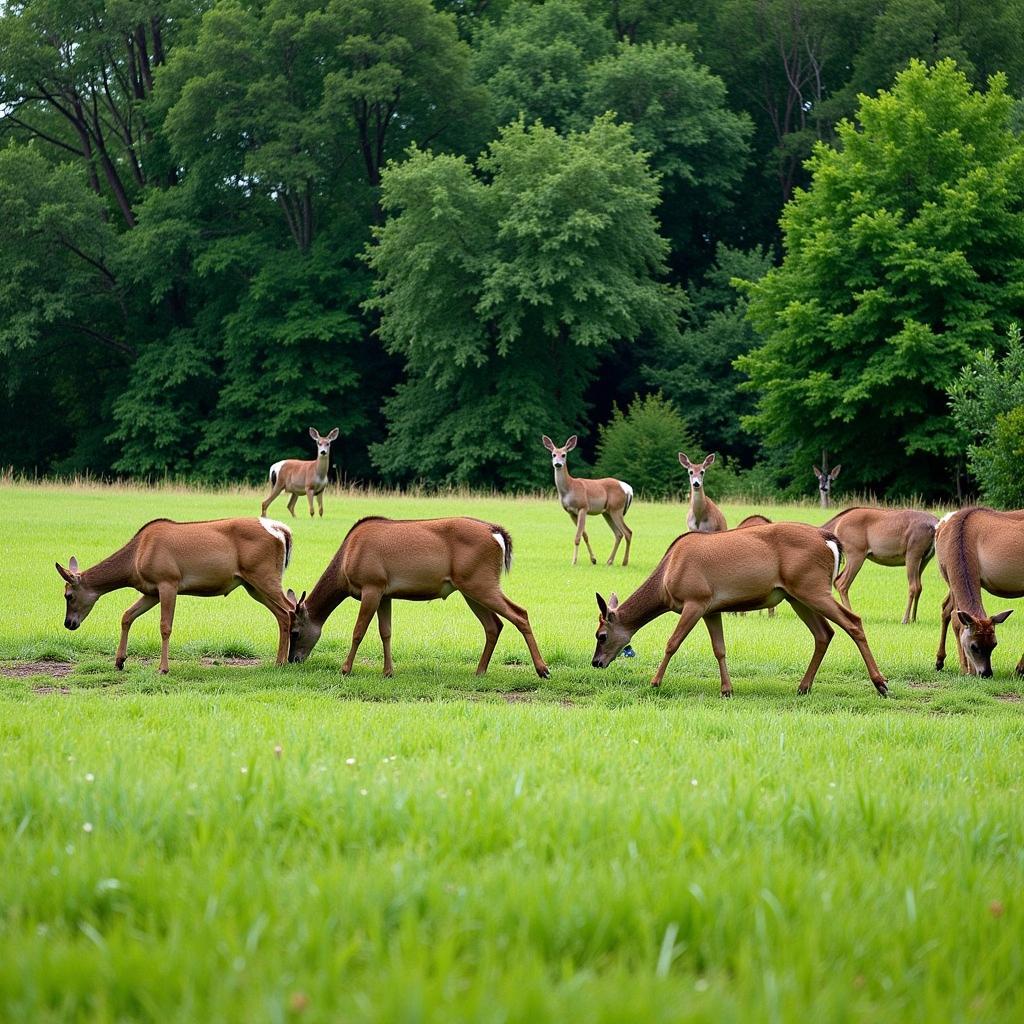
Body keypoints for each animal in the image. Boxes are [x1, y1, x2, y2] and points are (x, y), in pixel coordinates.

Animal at [56, 516, 294, 675]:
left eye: (68, 595)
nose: (69, 623)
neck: (135, 560)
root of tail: (283, 531)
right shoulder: (151, 591)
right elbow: (127, 615)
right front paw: (119, 661)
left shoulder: (168, 581)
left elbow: (165, 626)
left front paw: (163, 668)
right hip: (251, 584)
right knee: (282, 614)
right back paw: (280, 661)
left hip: (263, 575)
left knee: (290, 609)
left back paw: (284, 661)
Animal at [286, 520, 552, 679]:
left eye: (295, 631)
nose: (292, 660)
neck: (345, 564)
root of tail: (498, 535)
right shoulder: (385, 592)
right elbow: (386, 632)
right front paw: (388, 671)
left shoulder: (371, 584)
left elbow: (358, 631)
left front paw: (345, 669)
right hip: (471, 587)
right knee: (494, 624)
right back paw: (479, 671)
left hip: (481, 582)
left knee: (520, 613)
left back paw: (543, 669)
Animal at [540, 436, 634, 569]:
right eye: (553, 454)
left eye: (564, 455)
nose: (557, 464)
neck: (570, 488)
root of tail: (628, 489)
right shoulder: (570, 512)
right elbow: (584, 535)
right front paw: (593, 560)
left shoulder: (583, 507)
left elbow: (577, 537)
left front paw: (574, 561)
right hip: (607, 512)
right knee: (618, 533)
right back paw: (609, 561)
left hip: (617, 509)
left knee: (628, 532)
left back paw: (624, 562)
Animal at [593, 520, 888, 696]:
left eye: (601, 635)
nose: (596, 662)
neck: (666, 580)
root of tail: (830, 541)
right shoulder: (711, 608)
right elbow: (719, 649)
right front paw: (726, 689)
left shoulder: (695, 599)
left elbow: (672, 642)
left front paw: (655, 682)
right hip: (796, 594)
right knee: (824, 633)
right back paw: (803, 687)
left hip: (812, 587)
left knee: (853, 621)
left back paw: (881, 684)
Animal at [933, 505, 1019, 679]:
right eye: (974, 646)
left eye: (994, 644)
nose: (986, 673)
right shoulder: (951, 577)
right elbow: (956, 619)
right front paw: (965, 669)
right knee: (946, 609)